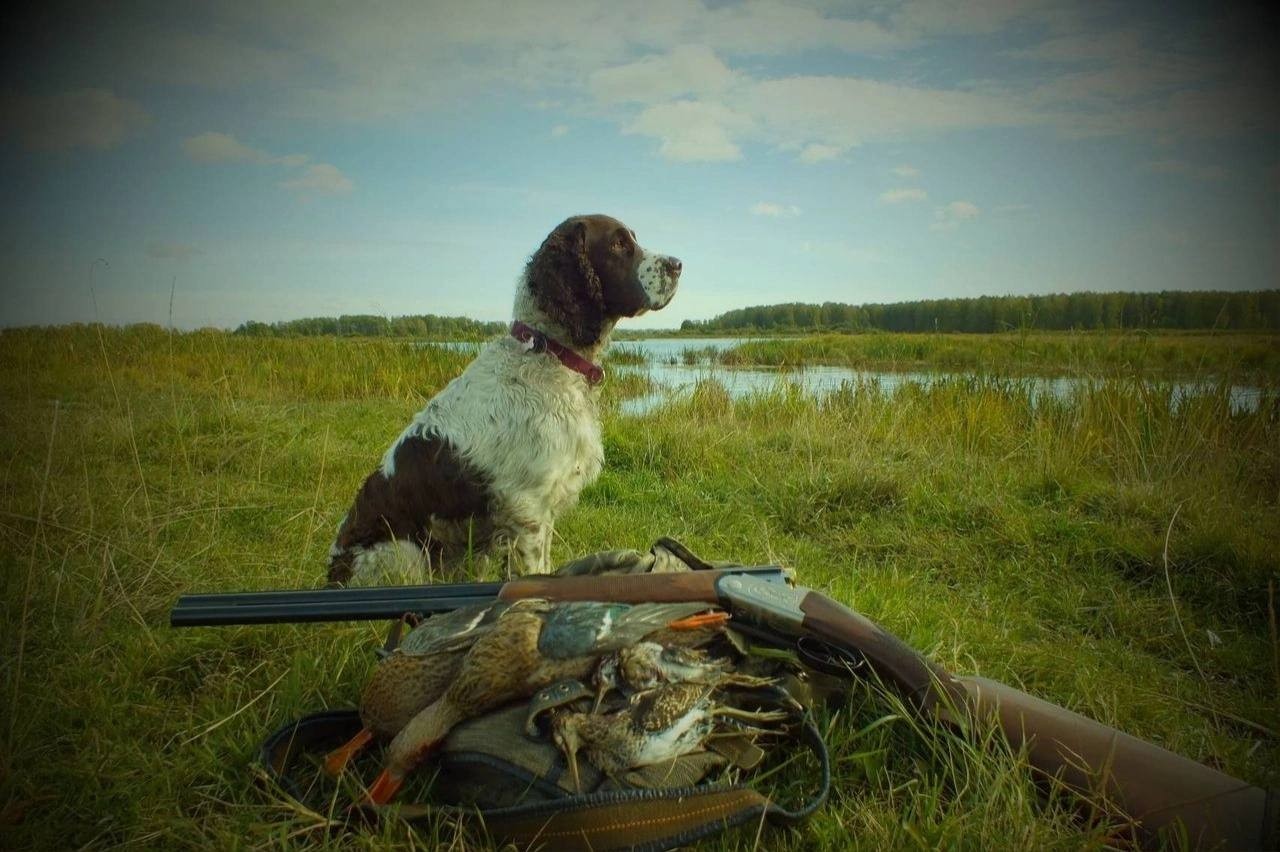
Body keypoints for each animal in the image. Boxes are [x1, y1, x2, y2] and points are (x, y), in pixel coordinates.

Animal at [327, 212, 680, 583]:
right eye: (618, 244)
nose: (678, 264)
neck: (550, 353)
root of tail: (333, 571)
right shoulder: (528, 508)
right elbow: (535, 570)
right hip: (402, 552)